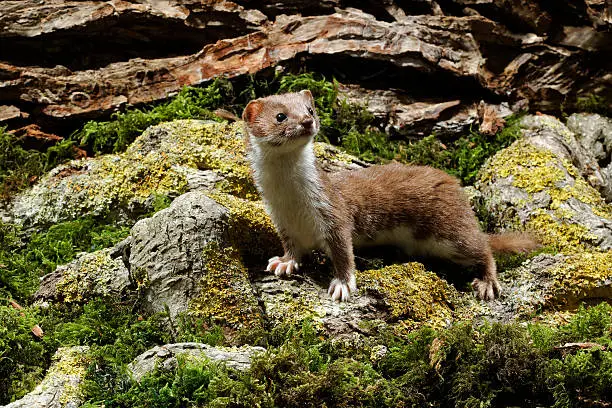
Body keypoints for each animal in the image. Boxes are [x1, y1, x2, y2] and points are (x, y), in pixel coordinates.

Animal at [241, 92, 536, 302]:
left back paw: (487, 283)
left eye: (310, 110)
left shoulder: (333, 213)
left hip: (451, 231)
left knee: (483, 247)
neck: (292, 201)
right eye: (280, 116)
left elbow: (344, 253)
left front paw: (342, 285)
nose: (306, 121)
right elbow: (293, 249)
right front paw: (284, 263)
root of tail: (455, 189)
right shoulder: (283, 222)